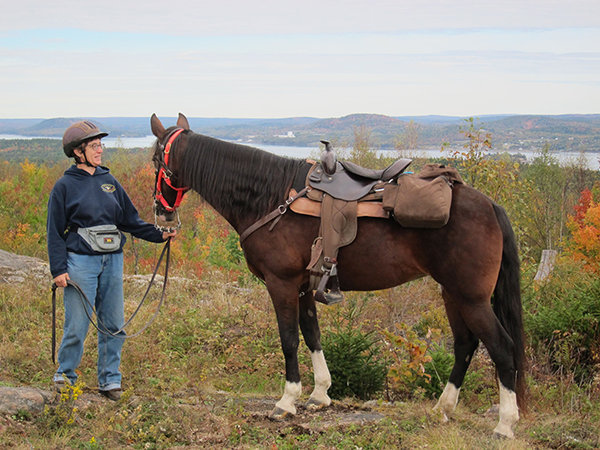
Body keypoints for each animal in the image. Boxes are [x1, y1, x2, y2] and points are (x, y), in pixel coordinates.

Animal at [149, 113, 524, 440]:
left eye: (155, 160)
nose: (160, 212)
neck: (269, 198)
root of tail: (490, 206)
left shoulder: (281, 283)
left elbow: (289, 339)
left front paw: (286, 401)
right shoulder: (303, 287)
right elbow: (312, 334)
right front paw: (319, 395)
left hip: (471, 297)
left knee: (502, 348)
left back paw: (505, 425)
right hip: (452, 293)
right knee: (465, 344)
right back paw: (443, 408)